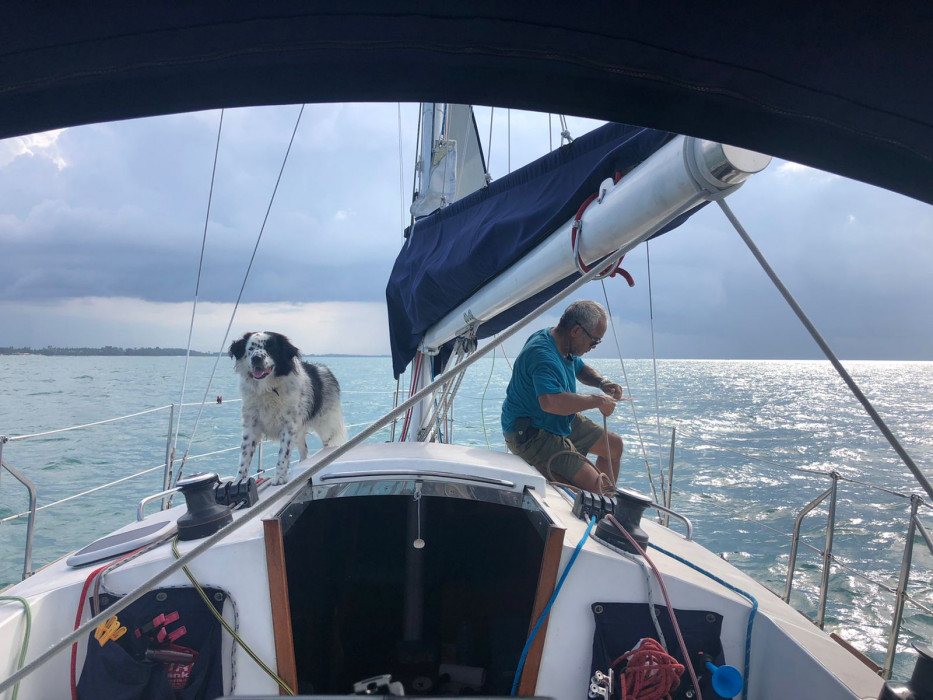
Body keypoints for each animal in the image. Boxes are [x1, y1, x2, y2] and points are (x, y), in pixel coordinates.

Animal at [231, 330, 348, 484]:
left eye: (271, 348)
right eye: (250, 349)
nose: (256, 358)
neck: (268, 389)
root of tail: (323, 369)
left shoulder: (288, 426)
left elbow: (283, 455)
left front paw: (279, 478)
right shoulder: (251, 424)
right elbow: (245, 454)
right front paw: (239, 480)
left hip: (326, 426)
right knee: (304, 450)